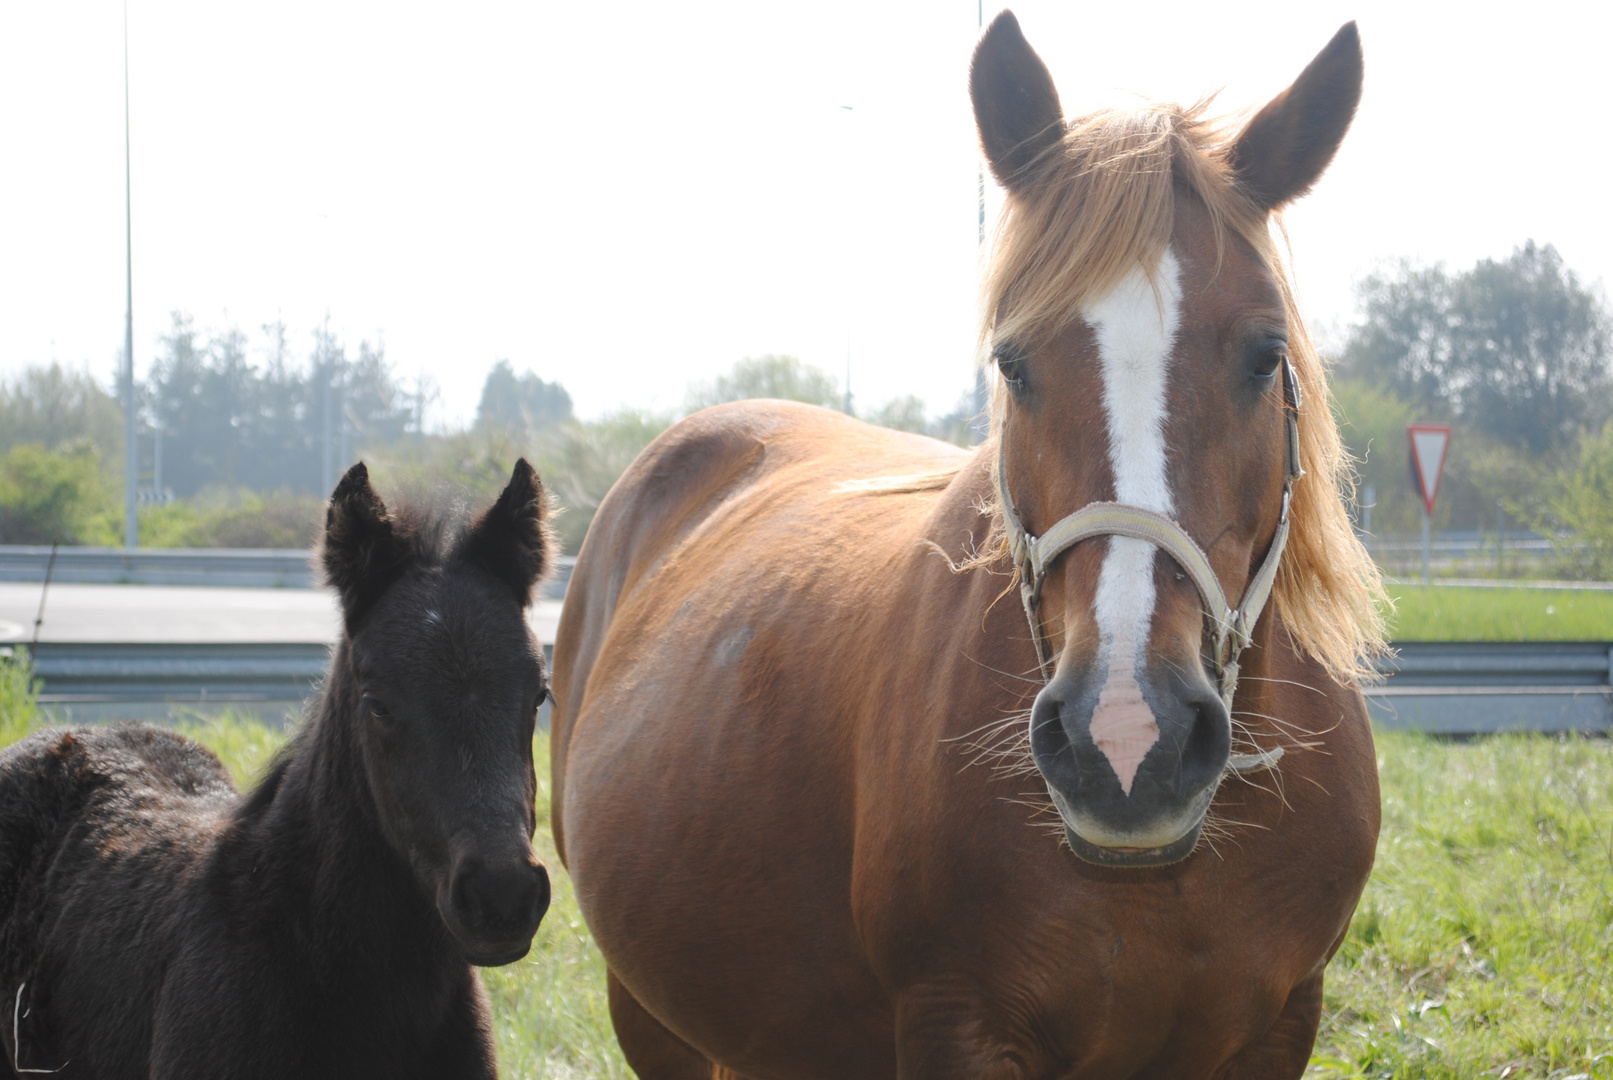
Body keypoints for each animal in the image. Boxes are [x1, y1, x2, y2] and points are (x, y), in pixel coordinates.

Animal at [554, 16, 1387, 1080]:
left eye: (1263, 354)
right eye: (1013, 362)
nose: (1128, 738)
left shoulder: (1280, 1026)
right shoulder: (957, 1024)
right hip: (652, 1016)